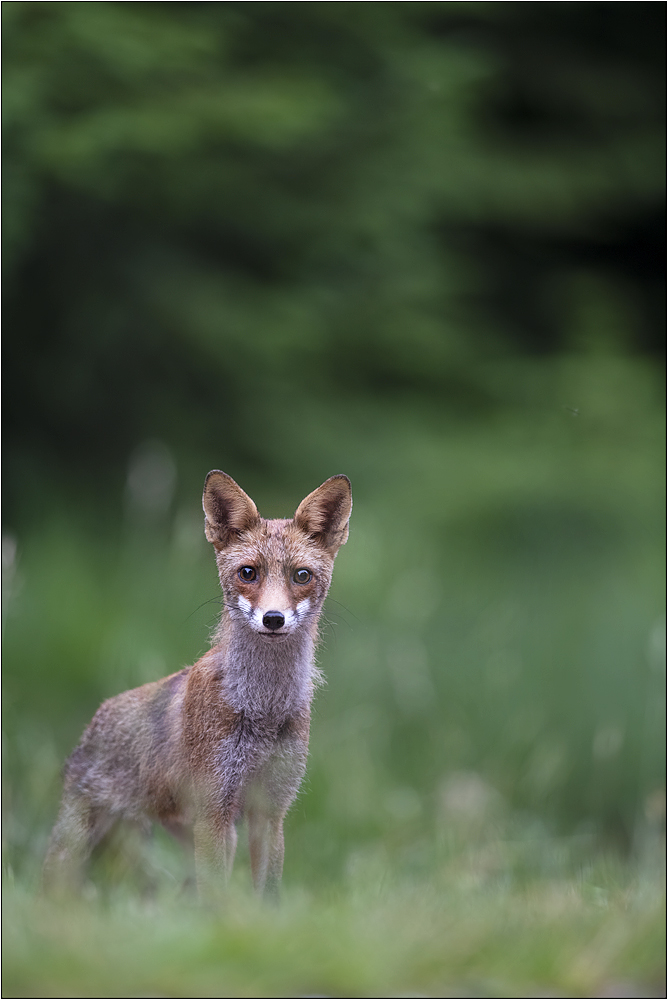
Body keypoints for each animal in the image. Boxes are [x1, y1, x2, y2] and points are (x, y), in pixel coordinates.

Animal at [42, 472, 352, 904]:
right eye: (248, 573)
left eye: (301, 576)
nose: (273, 618)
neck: (262, 708)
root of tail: (94, 721)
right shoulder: (214, 809)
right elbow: (217, 900)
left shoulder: (270, 812)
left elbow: (267, 897)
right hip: (79, 846)